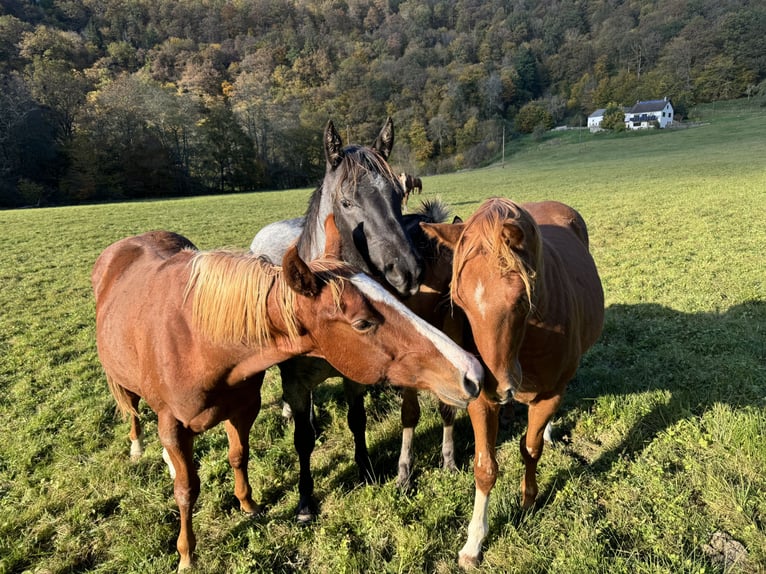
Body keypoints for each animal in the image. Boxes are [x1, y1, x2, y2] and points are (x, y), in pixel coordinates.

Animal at [93, 217, 484, 572]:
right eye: (362, 323)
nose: (472, 372)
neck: (199, 341)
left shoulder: (243, 409)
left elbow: (238, 456)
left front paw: (248, 505)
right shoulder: (173, 426)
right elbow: (187, 489)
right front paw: (187, 555)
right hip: (122, 382)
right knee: (133, 412)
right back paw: (138, 447)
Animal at [420, 199, 608, 572]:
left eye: (521, 300)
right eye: (460, 303)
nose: (494, 386)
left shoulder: (549, 395)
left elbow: (530, 449)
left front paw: (528, 500)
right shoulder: (480, 401)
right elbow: (484, 468)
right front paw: (473, 543)